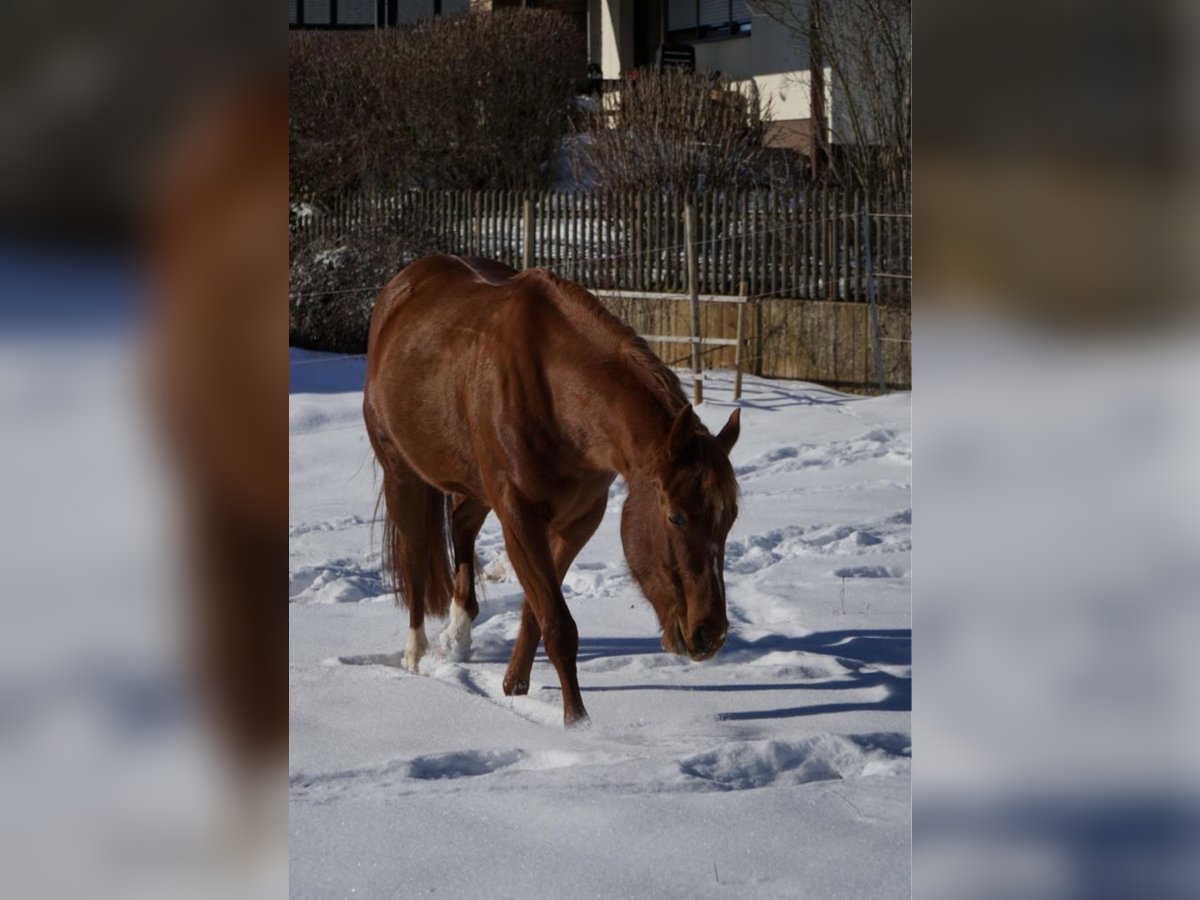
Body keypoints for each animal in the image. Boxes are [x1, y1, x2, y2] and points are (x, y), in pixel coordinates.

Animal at [363, 254, 741, 727]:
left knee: (462, 526)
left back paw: (460, 629)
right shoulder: (519, 515)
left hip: (473, 484)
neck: (556, 394)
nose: (711, 634)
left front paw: (515, 686)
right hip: (402, 471)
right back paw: (416, 653)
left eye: (730, 519)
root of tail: (401, 287)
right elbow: (559, 624)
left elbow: (536, 611)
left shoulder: (580, 518)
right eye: (675, 516)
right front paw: (577, 722)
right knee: (415, 554)